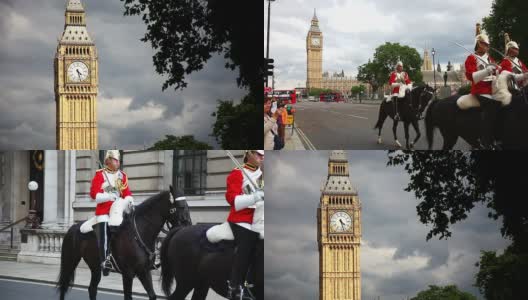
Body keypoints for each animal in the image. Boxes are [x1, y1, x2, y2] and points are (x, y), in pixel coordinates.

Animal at [56, 188, 192, 300]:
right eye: (180, 207)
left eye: (187, 206)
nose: (188, 227)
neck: (139, 232)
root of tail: (73, 227)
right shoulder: (128, 273)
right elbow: (128, 296)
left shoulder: (144, 271)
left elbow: (152, 295)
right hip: (71, 260)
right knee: (64, 285)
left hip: (95, 267)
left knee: (92, 288)